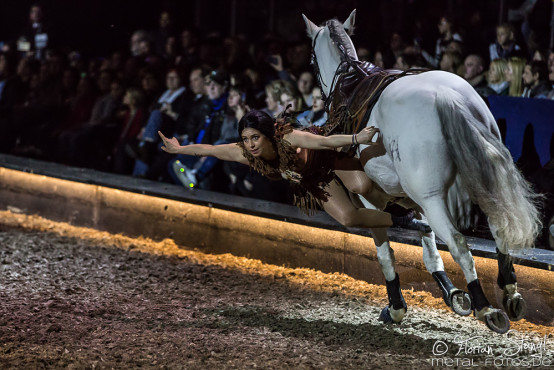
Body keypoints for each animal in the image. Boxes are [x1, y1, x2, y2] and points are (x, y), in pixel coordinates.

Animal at [302, 9, 540, 336]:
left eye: (311, 60)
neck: (350, 85)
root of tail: (446, 97)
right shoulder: (413, 199)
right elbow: (428, 246)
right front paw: (453, 294)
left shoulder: (372, 199)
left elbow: (385, 253)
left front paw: (396, 307)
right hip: (479, 182)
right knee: (498, 230)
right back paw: (509, 293)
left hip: (432, 197)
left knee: (458, 243)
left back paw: (485, 307)